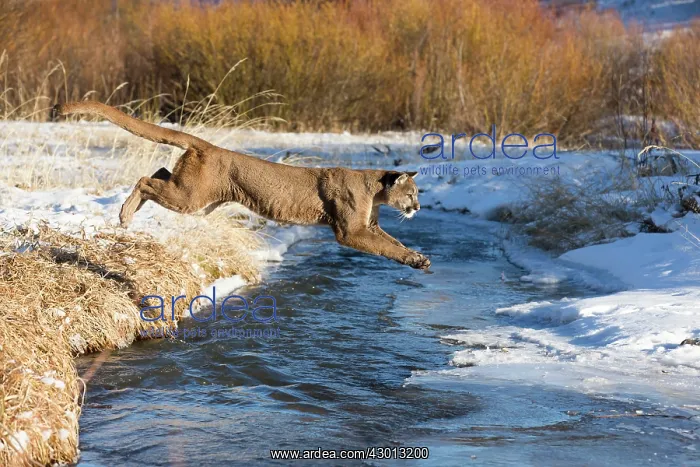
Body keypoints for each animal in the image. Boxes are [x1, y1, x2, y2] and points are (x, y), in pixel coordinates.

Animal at [53, 102, 431, 270]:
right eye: (412, 193)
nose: (417, 208)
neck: (374, 189)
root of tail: (208, 145)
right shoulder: (350, 230)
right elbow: (384, 247)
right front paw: (414, 257)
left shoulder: (370, 224)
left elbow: (392, 241)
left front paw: (419, 258)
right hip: (191, 197)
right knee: (145, 180)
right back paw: (125, 214)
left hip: (194, 197)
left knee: (158, 171)